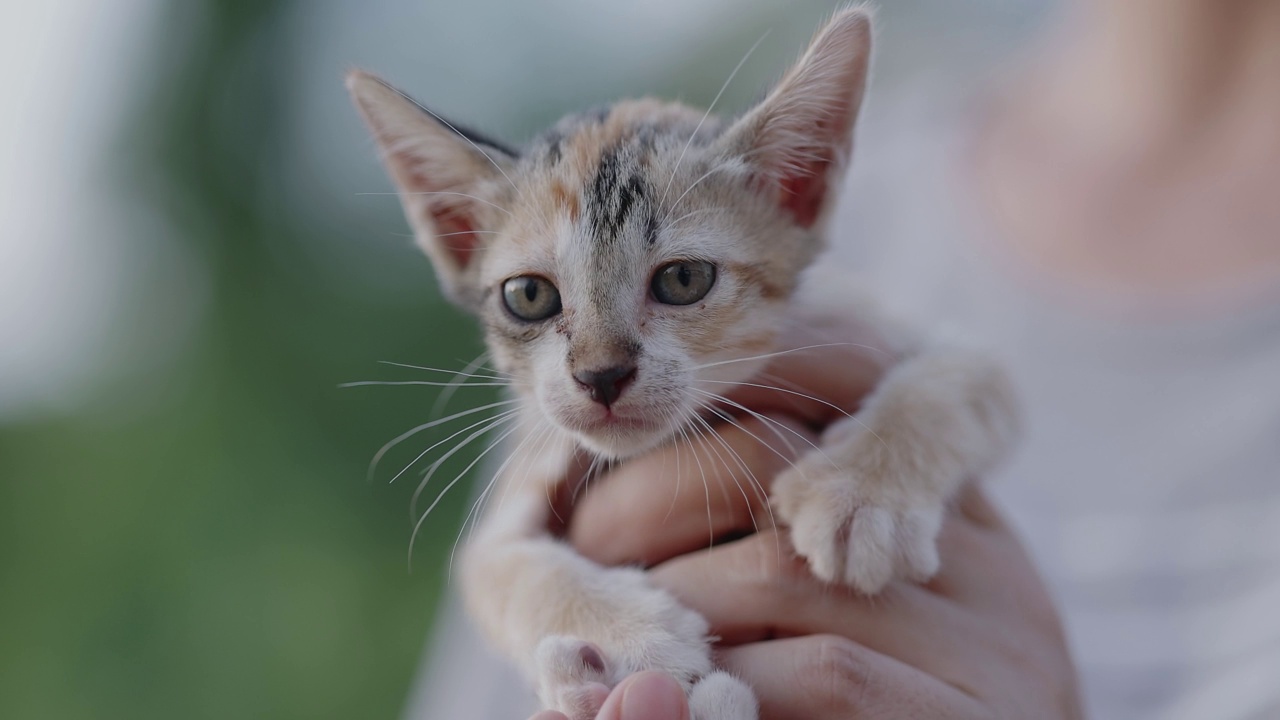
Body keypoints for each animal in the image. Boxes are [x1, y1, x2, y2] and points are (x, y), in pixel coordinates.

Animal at [345, 7, 1013, 717]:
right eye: (528, 295)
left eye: (684, 279)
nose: (601, 375)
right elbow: (494, 568)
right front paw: (631, 633)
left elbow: (959, 377)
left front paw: (860, 494)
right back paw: (584, 681)